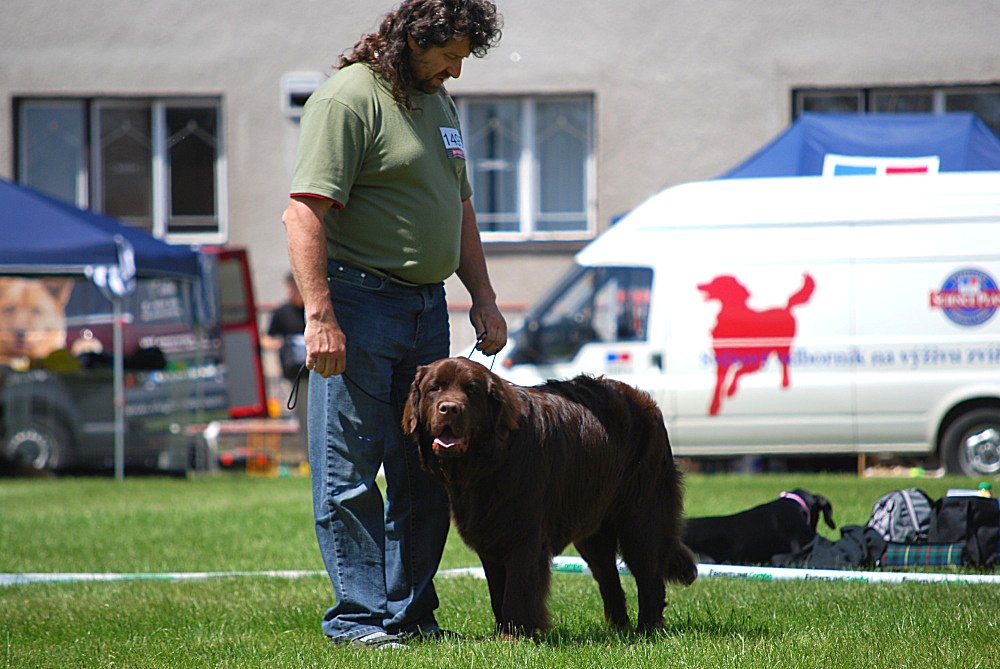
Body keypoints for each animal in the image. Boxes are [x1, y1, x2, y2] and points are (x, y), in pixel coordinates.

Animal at [398, 358, 696, 636]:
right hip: (593, 525)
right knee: (608, 577)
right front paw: (503, 632)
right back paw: (619, 628)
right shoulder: (488, 534)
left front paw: (515, 635)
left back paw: (648, 628)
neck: (489, 461)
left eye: (471, 390)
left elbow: (517, 591)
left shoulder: (524, 534)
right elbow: (497, 592)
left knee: (649, 573)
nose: (449, 408)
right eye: (434, 388)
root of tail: (648, 403)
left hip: (642, 513)